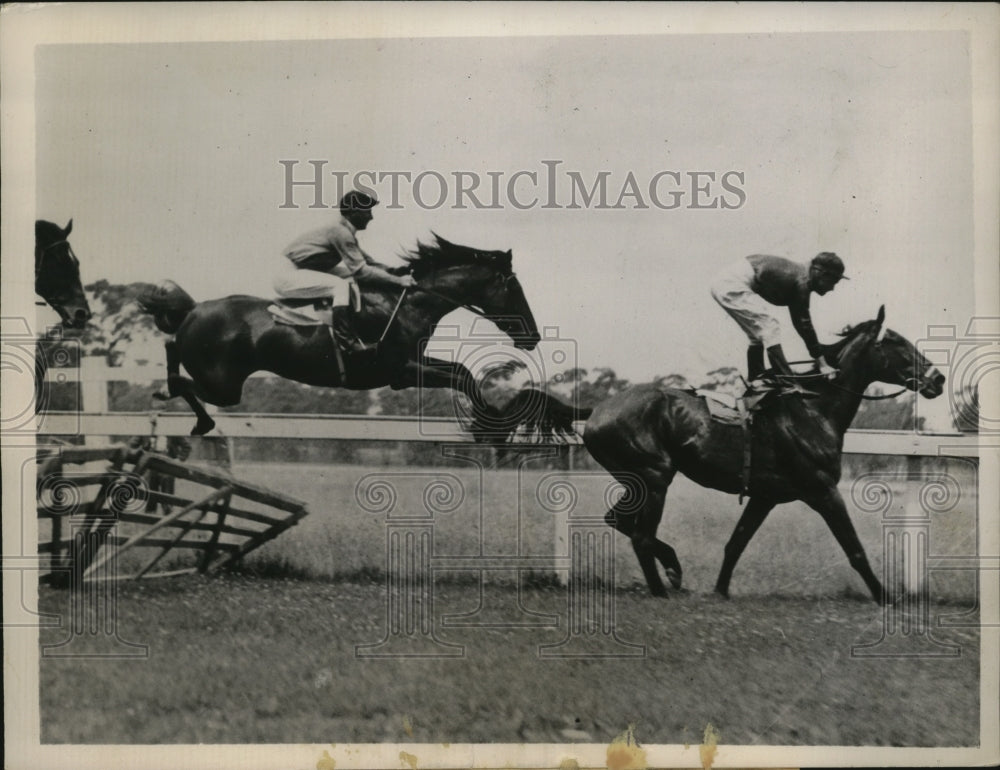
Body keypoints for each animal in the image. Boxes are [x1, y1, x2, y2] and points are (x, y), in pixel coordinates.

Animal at [135, 234, 548, 438]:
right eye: (513, 288)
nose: (533, 337)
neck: (406, 304)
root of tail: (194, 309)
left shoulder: (410, 366)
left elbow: (462, 371)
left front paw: (489, 422)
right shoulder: (398, 370)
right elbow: (463, 376)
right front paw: (489, 426)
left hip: (222, 383)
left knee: (173, 356)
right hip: (223, 385)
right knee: (182, 378)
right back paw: (188, 411)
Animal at [500, 304, 944, 600]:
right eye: (897, 343)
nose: (937, 378)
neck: (813, 409)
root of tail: (596, 410)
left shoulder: (765, 497)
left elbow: (736, 543)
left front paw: (720, 589)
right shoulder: (822, 491)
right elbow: (854, 548)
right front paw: (886, 597)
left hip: (638, 478)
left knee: (621, 522)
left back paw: (673, 569)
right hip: (655, 476)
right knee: (639, 534)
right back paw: (663, 586)